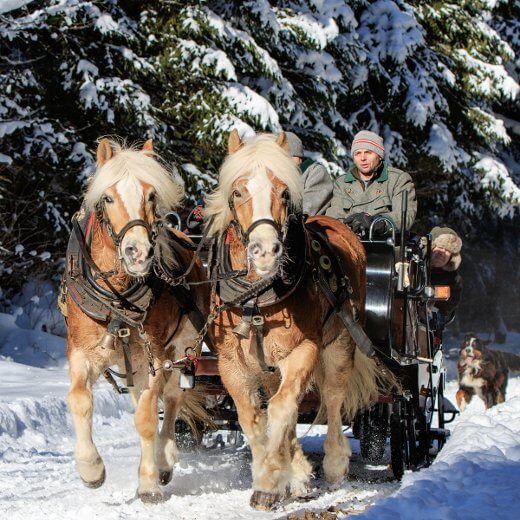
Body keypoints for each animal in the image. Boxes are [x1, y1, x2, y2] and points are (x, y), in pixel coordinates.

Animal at [64, 138, 209, 504]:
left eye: (151, 195)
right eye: (108, 197)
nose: (138, 252)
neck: (118, 296)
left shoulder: (154, 357)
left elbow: (146, 418)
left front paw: (148, 483)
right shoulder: (82, 352)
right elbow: (80, 400)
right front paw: (91, 469)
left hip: (181, 349)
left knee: (171, 399)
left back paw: (164, 459)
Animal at [205, 132, 388, 510]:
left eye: (284, 193)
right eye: (238, 192)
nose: (265, 251)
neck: (258, 294)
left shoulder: (304, 349)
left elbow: (282, 409)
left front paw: (270, 483)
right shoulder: (232, 364)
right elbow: (253, 418)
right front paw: (282, 473)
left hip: (340, 344)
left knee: (331, 398)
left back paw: (333, 464)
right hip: (269, 367)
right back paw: (301, 473)